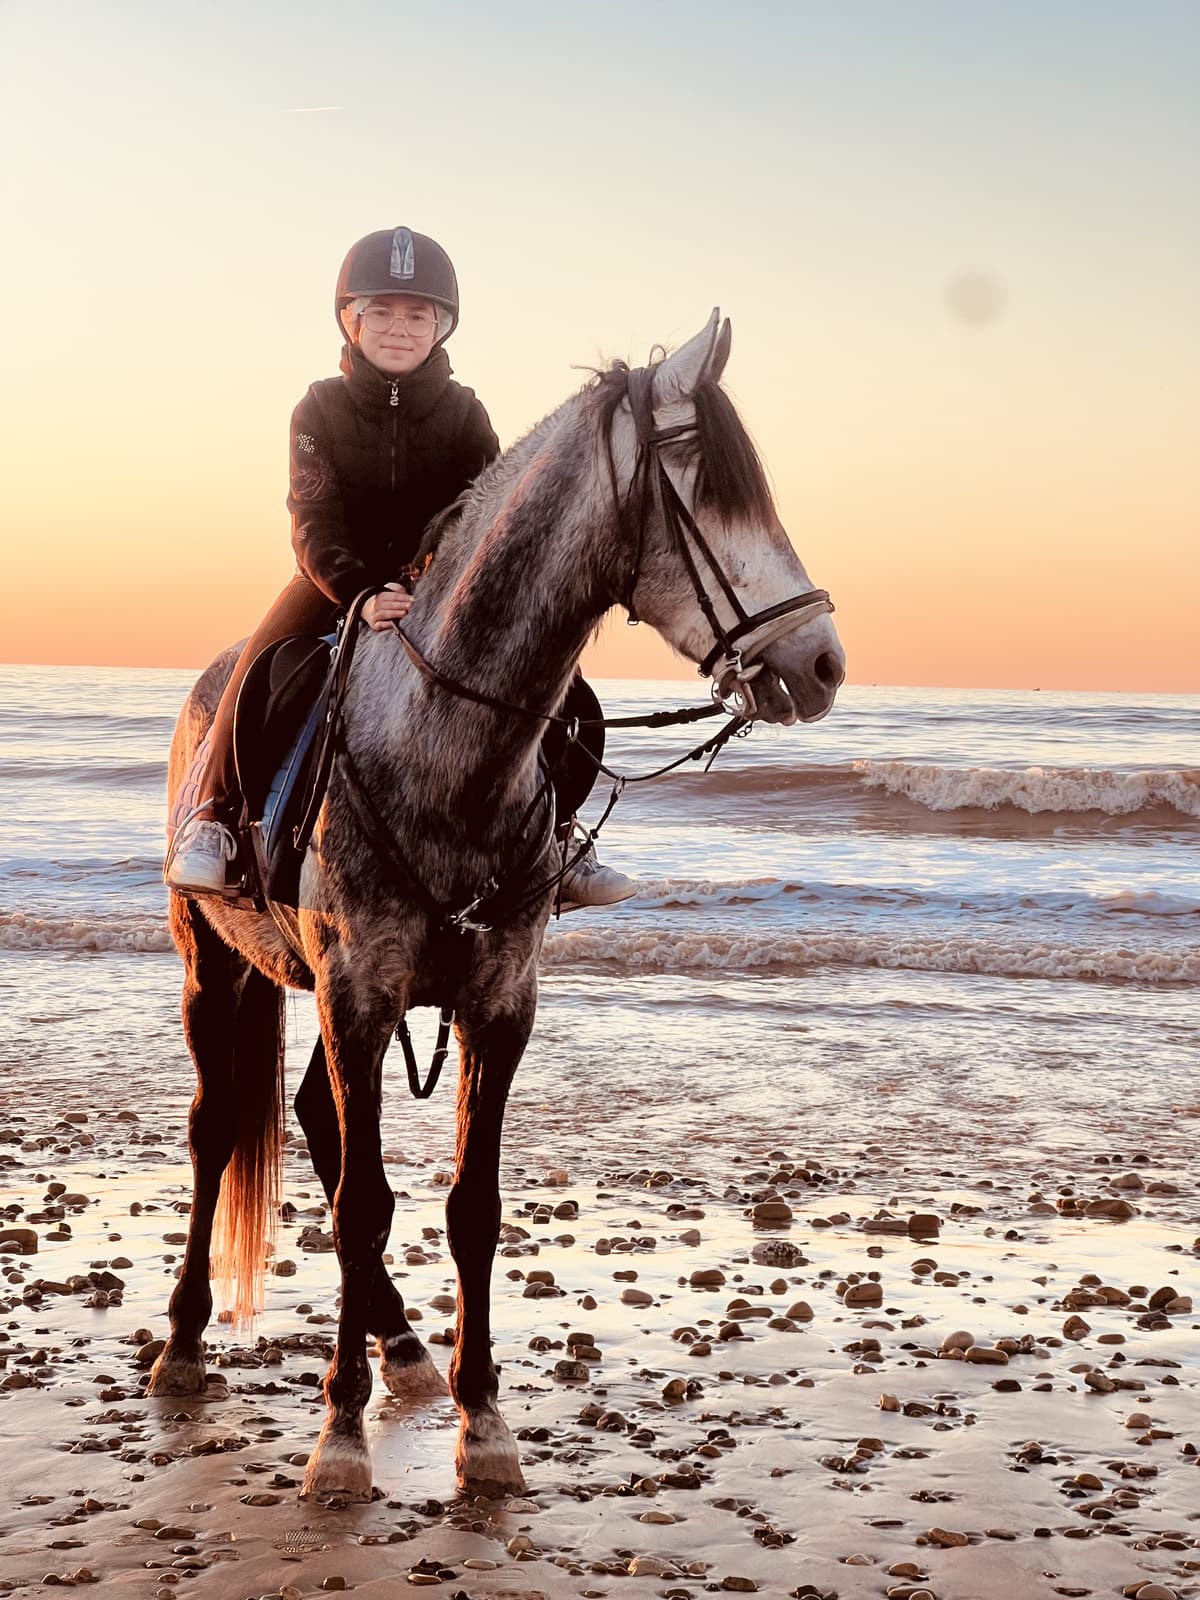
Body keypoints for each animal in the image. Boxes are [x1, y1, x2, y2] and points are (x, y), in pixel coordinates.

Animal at [148, 311, 846, 1502]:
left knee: (315, 1120)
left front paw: (484, 1421)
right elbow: (365, 1203)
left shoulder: (498, 1000)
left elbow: (471, 1209)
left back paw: (406, 1348)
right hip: (217, 963)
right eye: (707, 489)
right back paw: (187, 1342)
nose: (822, 658)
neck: (448, 744)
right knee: (216, 1130)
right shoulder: (357, 990)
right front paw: (338, 1436)